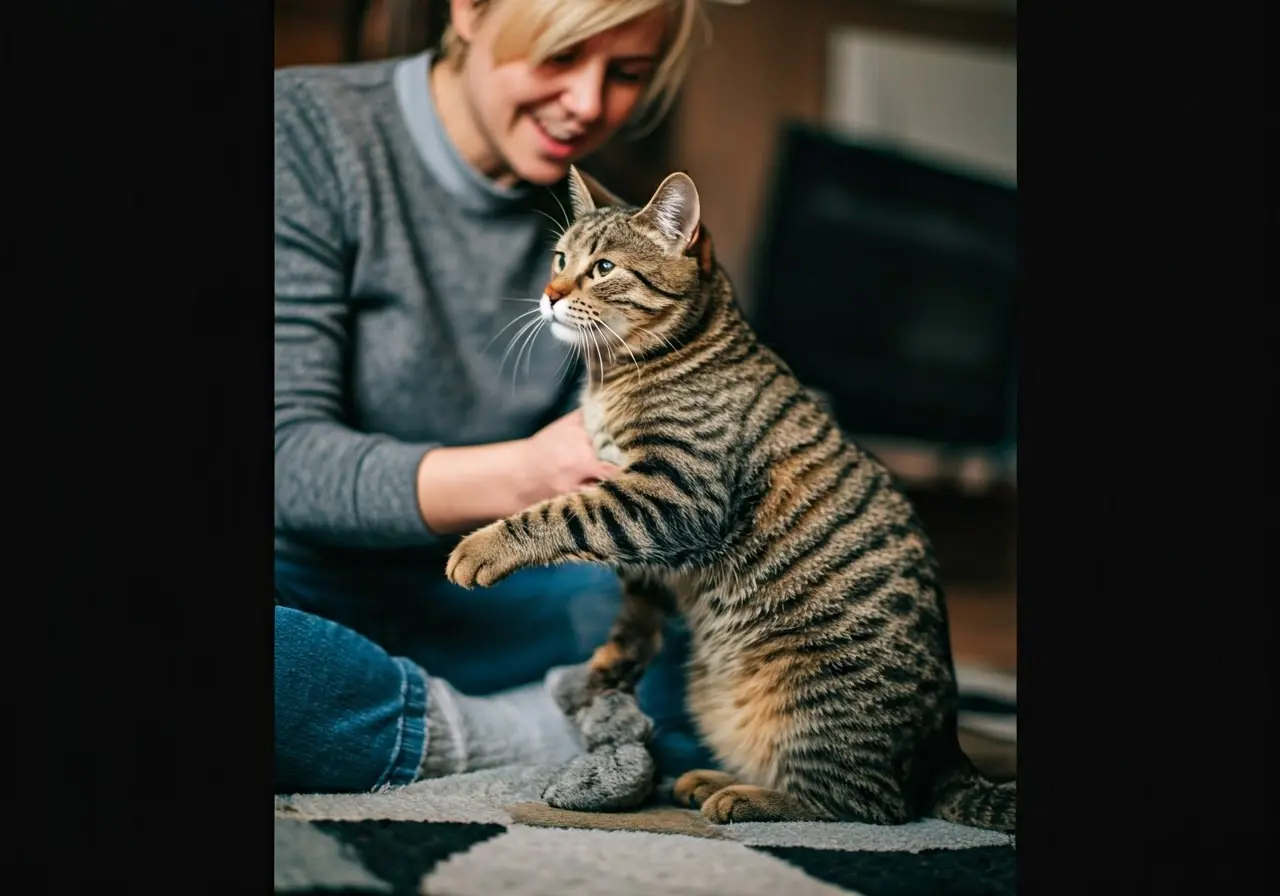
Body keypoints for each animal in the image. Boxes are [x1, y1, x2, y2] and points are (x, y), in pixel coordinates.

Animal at [450, 162, 1018, 834]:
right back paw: (711, 778)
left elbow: (560, 515)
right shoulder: (648, 532)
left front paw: (482, 547)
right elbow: (636, 606)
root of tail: (948, 750)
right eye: (560, 258)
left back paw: (743, 797)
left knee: (867, 804)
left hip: (806, 699)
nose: (550, 293)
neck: (612, 379)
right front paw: (613, 661)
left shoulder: (673, 494)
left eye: (604, 267)